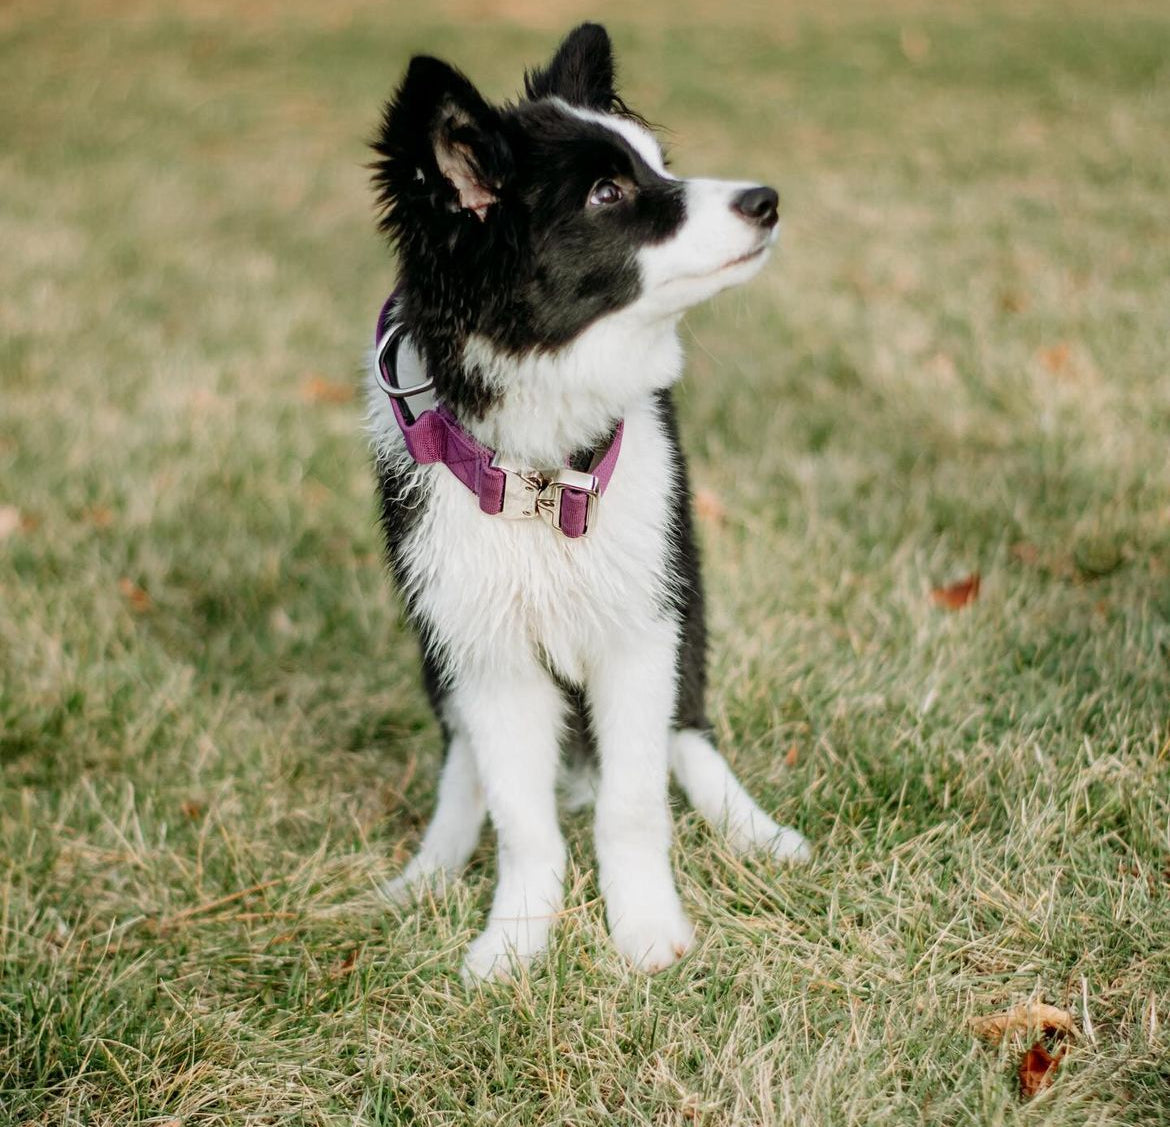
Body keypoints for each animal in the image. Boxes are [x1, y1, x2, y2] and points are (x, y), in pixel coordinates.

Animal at [369, 22, 809, 983]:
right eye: (608, 193)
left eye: (661, 164)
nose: (766, 199)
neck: (543, 472)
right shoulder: (486, 650)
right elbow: (522, 821)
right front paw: (513, 939)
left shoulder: (640, 627)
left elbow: (632, 802)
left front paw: (645, 927)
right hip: (436, 647)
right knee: (464, 762)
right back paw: (428, 867)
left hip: (686, 595)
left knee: (689, 730)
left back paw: (755, 830)